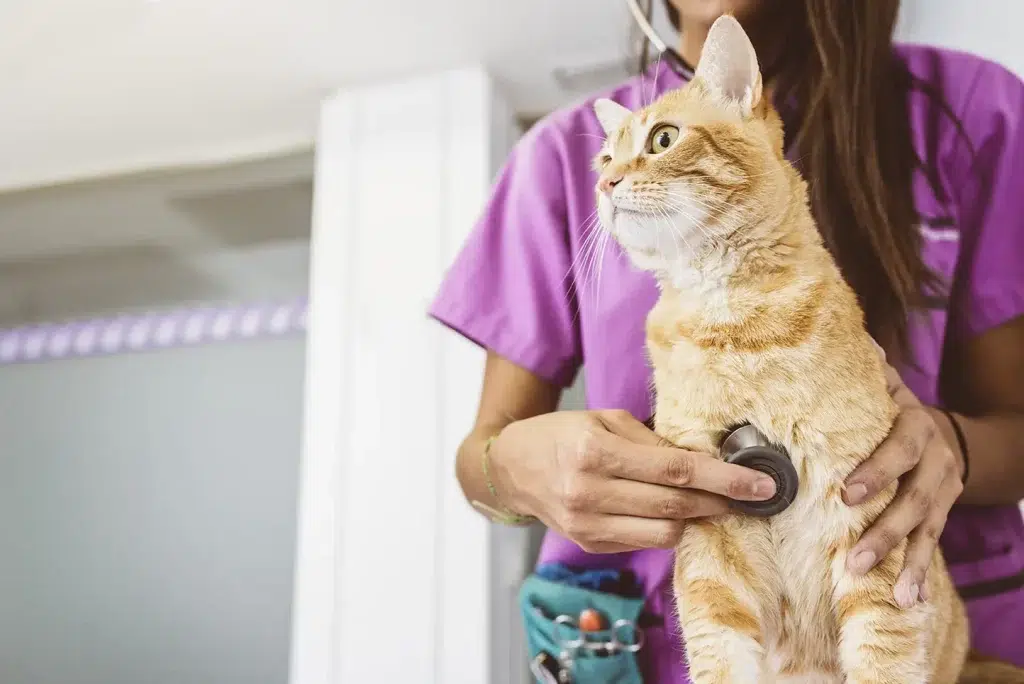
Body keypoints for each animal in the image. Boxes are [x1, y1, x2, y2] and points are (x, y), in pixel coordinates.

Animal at [593, 13, 1024, 684]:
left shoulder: (870, 545)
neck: (732, 326)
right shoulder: (712, 557)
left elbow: (883, 659)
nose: (606, 183)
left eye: (663, 139)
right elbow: (719, 657)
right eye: (605, 156)